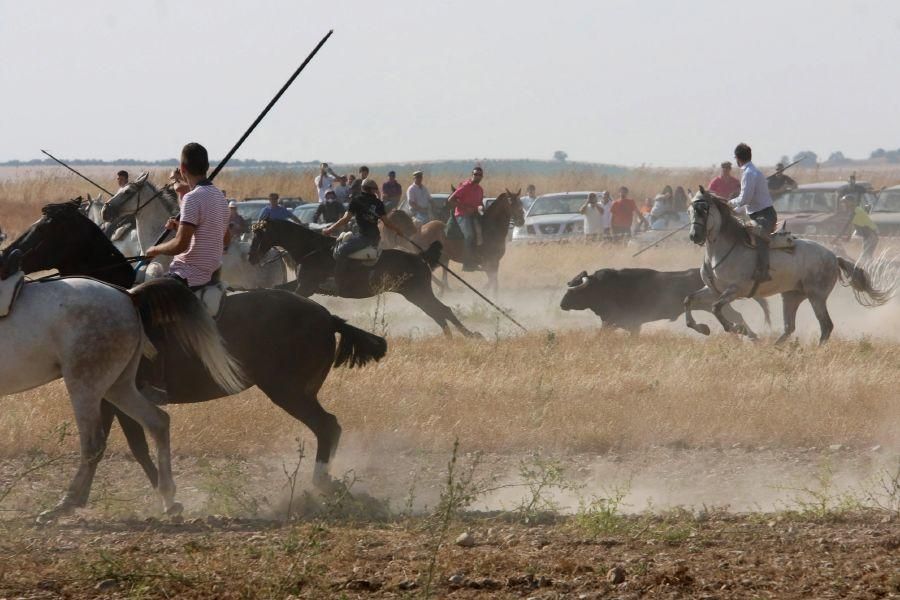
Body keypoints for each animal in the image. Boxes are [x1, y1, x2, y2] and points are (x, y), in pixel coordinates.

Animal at [0, 209, 246, 516]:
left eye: (44, 228)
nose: (7, 255)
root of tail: (128, 296)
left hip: (85, 385)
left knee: (94, 442)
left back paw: (64, 505)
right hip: (117, 386)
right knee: (157, 422)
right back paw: (168, 497)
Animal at [382, 190, 528, 296]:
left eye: (520, 202)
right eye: (511, 202)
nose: (521, 220)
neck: (490, 229)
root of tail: (419, 230)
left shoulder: (494, 262)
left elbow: (493, 279)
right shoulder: (489, 261)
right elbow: (492, 279)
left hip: (443, 258)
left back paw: (444, 289)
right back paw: (442, 289)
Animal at [560, 268, 768, 338]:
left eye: (574, 289)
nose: (562, 304)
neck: (604, 287)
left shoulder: (627, 324)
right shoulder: (618, 324)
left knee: (735, 317)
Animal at [684, 190, 896, 344]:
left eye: (703, 210)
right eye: (689, 211)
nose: (694, 236)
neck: (722, 251)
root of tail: (833, 256)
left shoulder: (734, 290)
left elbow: (716, 308)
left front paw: (737, 329)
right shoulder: (713, 290)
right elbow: (689, 299)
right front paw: (703, 328)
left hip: (816, 296)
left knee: (826, 326)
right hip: (792, 295)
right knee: (789, 327)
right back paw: (774, 347)